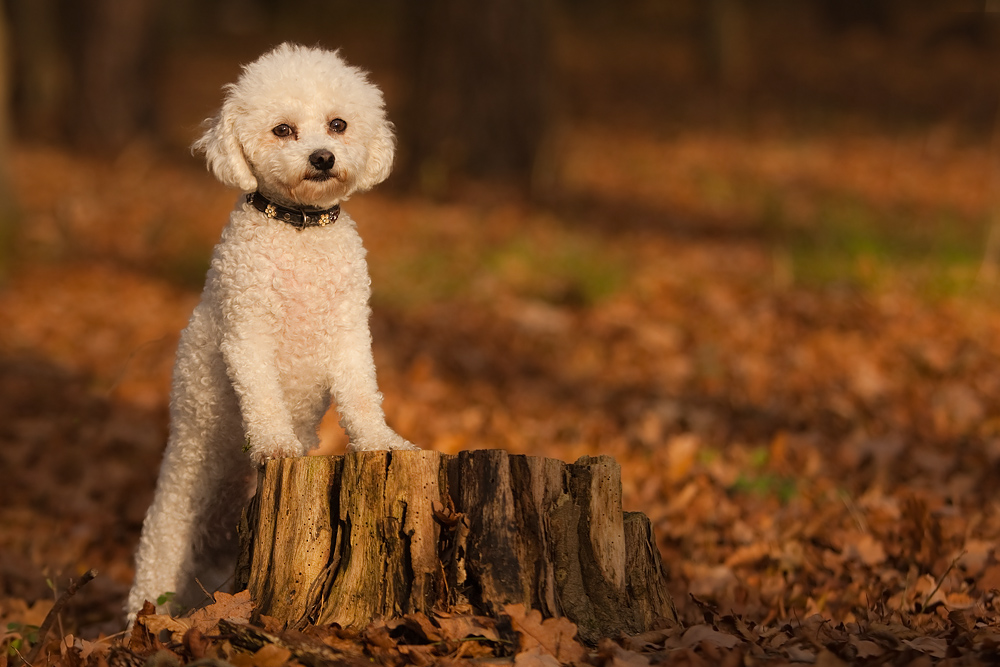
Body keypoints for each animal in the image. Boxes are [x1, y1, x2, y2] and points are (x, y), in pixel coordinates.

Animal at [126, 44, 418, 620]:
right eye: (283, 130)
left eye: (338, 124)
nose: (323, 157)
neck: (298, 229)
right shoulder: (247, 333)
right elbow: (262, 394)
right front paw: (276, 444)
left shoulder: (350, 334)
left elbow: (362, 396)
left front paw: (380, 441)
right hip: (173, 517)